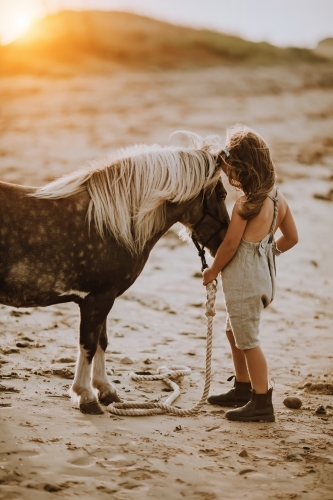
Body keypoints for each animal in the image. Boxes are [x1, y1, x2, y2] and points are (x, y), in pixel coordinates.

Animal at [0, 130, 228, 414]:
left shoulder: (104, 299)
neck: (111, 223)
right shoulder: (96, 300)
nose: (227, 241)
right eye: (223, 195)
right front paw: (86, 396)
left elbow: (102, 341)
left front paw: (106, 390)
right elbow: (88, 344)